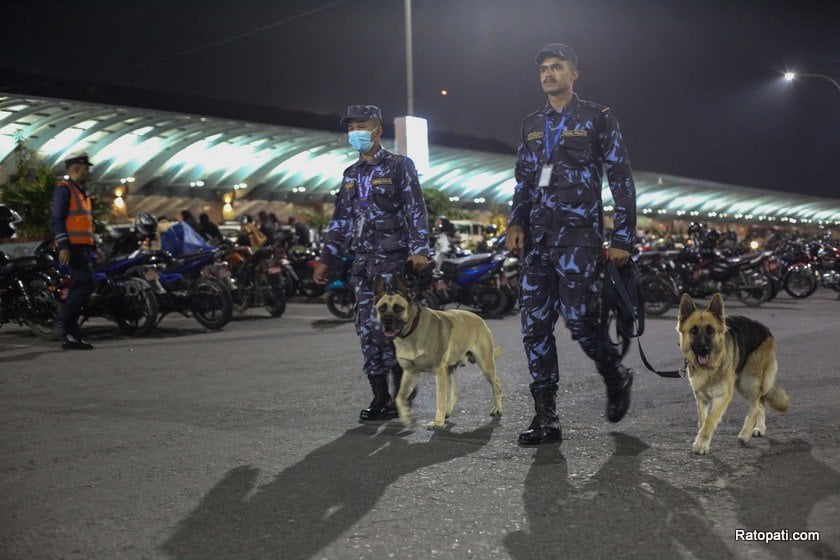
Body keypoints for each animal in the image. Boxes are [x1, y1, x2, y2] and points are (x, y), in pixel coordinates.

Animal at [372, 274, 502, 428]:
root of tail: (480, 319)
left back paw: (497, 408)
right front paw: (406, 417)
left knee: (497, 384)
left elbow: (439, 399)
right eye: (382, 308)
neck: (412, 331)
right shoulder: (410, 372)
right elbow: (399, 397)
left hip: (485, 365)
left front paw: (438, 421)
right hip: (450, 370)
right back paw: (448, 411)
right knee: (456, 392)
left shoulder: (439, 372)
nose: (387, 320)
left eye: (398, 308)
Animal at [676, 294, 788, 456]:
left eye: (710, 330)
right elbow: (703, 420)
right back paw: (759, 428)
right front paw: (702, 440)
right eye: (693, 331)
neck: (710, 368)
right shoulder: (701, 397)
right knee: (760, 402)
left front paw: (701, 444)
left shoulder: (723, 396)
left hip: (749, 381)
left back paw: (745, 434)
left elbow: (710, 420)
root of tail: (765, 329)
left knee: (756, 405)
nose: (704, 349)